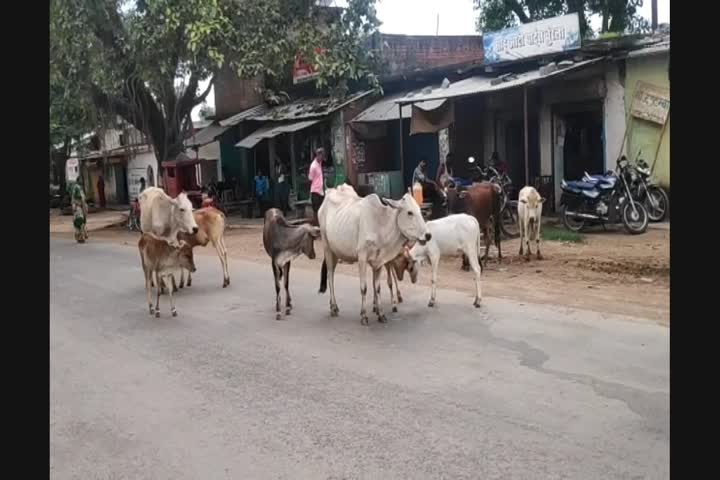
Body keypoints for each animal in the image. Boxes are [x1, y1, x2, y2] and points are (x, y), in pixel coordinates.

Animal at [320, 186, 434, 324]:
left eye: (419, 210)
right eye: (409, 213)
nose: (428, 235)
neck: (380, 225)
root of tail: (330, 192)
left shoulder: (379, 261)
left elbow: (378, 287)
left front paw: (381, 314)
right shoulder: (362, 258)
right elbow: (364, 287)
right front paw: (364, 316)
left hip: (336, 252)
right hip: (327, 248)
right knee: (330, 276)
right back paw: (333, 307)